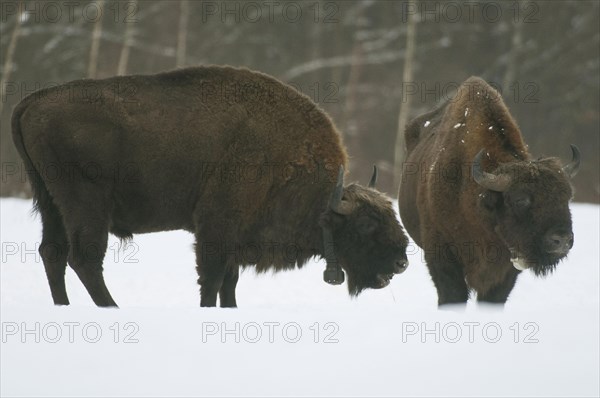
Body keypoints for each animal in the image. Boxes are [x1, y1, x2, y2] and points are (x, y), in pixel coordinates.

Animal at [14, 65, 410, 308]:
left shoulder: (237, 235)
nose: (402, 262)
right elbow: (213, 278)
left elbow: (228, 284)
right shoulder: (217, 227)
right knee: (84, 259)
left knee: (53, 253)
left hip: (51, 204)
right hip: (86, 205)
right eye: (366, 223)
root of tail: (34, 100)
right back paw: (113, 309)